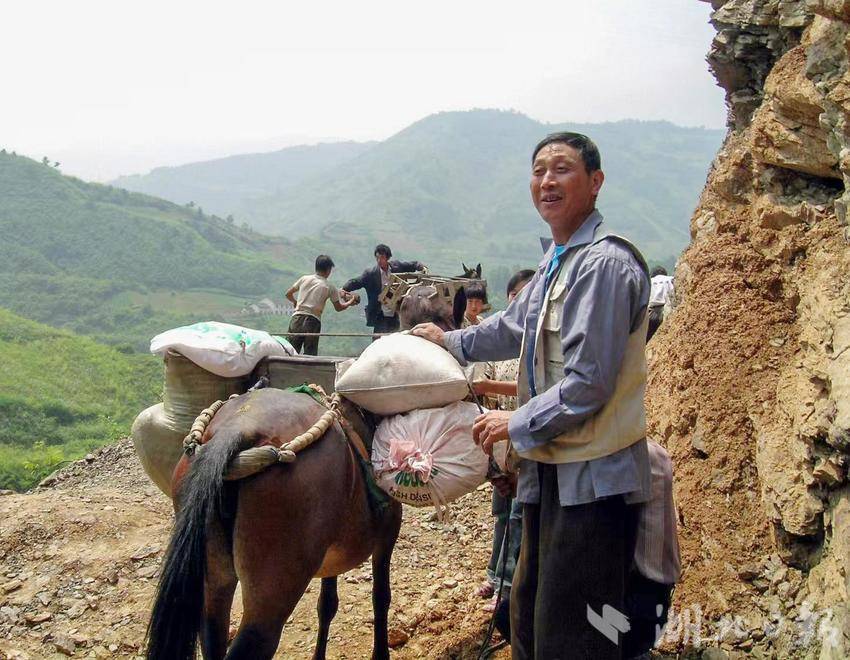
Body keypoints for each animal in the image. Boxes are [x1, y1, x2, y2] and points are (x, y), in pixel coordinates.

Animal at [146, 284, 466, 660]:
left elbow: (327, 603)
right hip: (273, 590)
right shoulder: (387, 532)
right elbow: (380, 598)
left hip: (215, 579)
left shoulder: (331, 557)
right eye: (447, 319)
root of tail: (235, 432)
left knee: (212, 637)